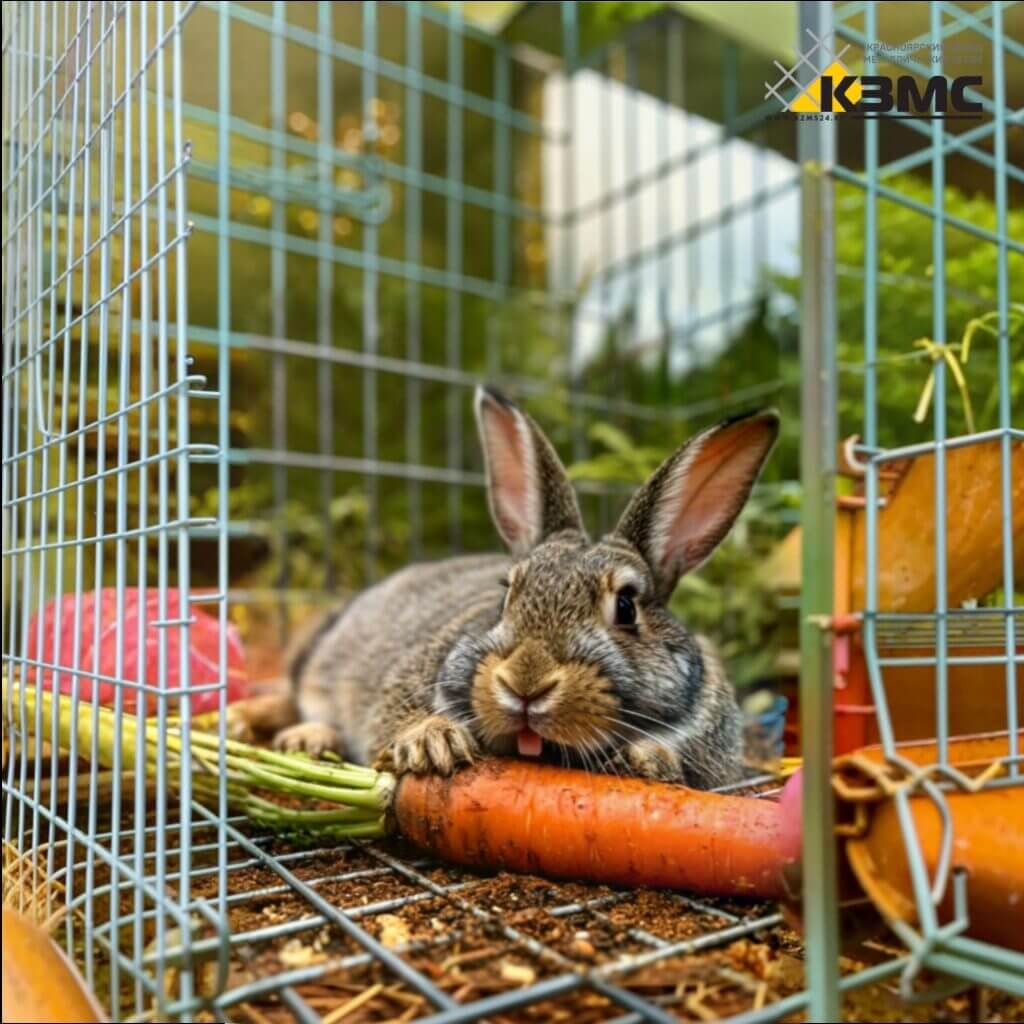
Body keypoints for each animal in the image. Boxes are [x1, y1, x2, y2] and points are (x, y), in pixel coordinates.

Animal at [272, 386, 779, 790]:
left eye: (627, 607)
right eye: (506, 594)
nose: (526, 685)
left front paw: (648, 760)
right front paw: (433, 742)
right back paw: (304, 737)